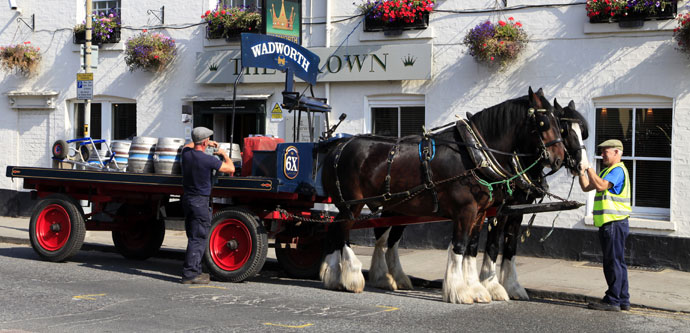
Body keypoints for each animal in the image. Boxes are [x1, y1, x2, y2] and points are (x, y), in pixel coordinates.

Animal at [318, 87, 564, 302]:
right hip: (352, 204)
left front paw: (476, 288)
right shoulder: (466, 211)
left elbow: (472, 248)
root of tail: (339, 145)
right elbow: (459, 246)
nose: (558, 158)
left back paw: (339, 276)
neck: (474, 154)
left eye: (559, 123)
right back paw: (349, 277)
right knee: (342, 231)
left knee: (341, 230)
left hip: (388, 207)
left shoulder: (481, 213)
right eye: (543, 123)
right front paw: (459, 291)